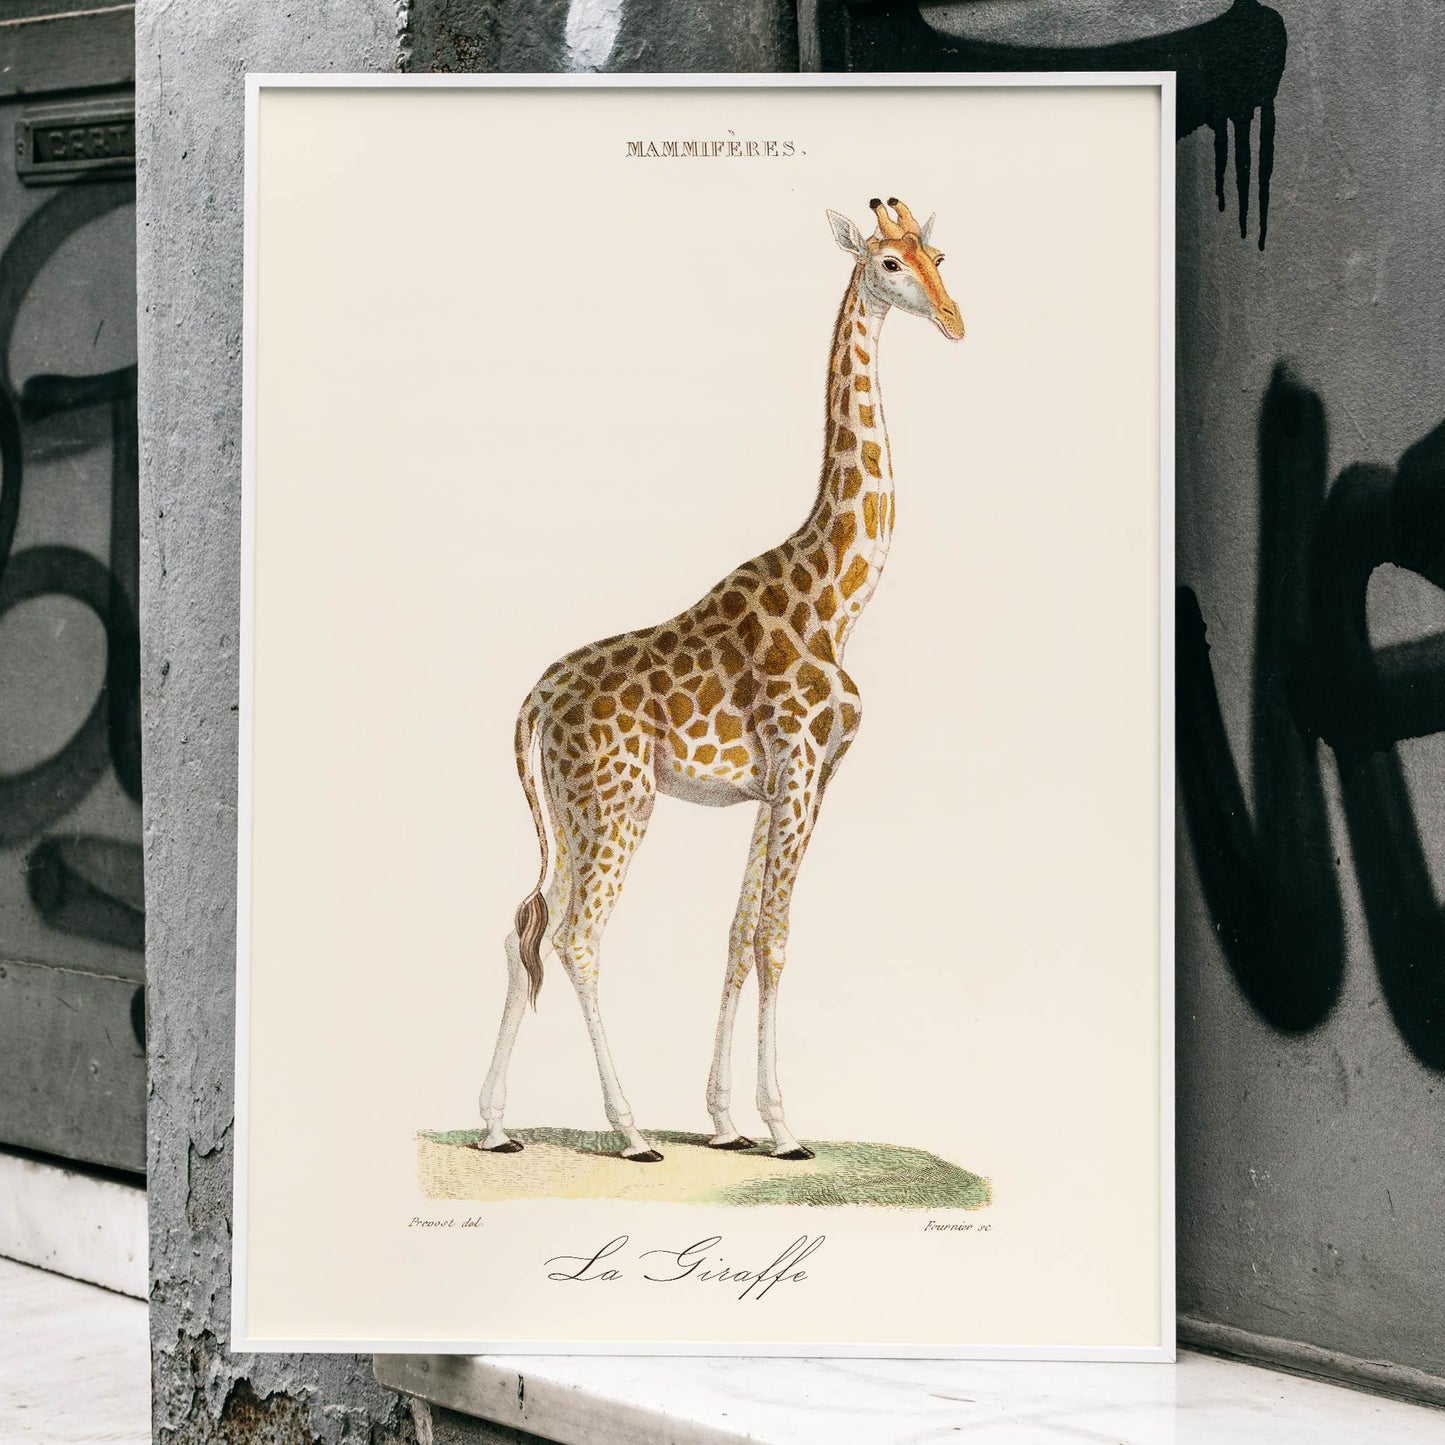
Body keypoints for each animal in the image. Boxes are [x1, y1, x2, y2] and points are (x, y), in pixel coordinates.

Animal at [479, 197, 963, 1162]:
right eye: (888, 263)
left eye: (938, 255)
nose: (953, 318)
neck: (837, 598)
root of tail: (534, 700)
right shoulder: (805, 770)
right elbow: (774, 936)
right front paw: (783, 1127)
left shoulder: (779, 785)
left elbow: (738, 934)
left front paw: (727, 1120)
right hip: (619, 801)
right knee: (577, 936)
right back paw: (629, 1130)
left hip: (570, 806)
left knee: (527, 924)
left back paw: (495, 1124)